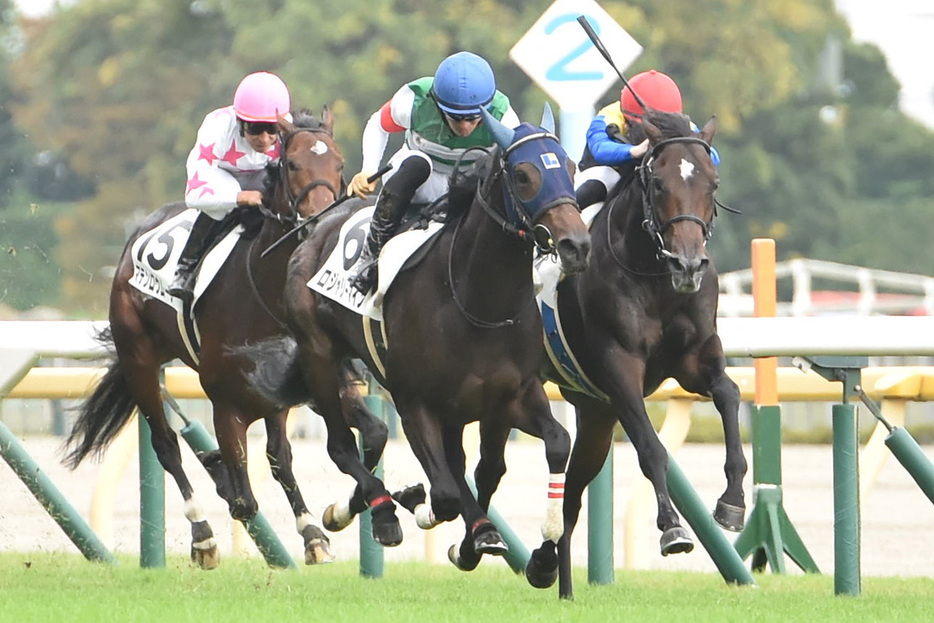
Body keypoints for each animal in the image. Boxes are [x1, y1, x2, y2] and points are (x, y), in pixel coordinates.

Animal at [63, 109, 384, 568]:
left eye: (340, 165)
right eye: (292, 164)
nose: (321, 222)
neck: (265, 290)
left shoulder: (312, 382)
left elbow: (371, 434)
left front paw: (327, 523)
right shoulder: (226, 402)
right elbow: (243, 501)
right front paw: (220, 480)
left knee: (279, 455)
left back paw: (307, 529)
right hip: (139, 359)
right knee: (166, 445)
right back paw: (202, 535)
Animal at [245, 108, 588, 584]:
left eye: (571, 169)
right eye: (522, 175)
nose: (577, 245)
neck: (475, 299)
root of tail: (314, 233)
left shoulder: (511, 395)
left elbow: (552, 444)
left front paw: (538, 557)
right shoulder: (415, 402)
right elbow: (444, 492)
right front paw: (443, 519)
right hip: (320, 357)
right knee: (342, 445)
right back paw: (380, 511)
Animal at [552, 109, 748, 596]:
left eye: (713, 182)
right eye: (658, 184)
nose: (688, 264)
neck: (653, 276)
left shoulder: (695, 359)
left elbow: (729, 394)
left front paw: (732, 501)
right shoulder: (619, 368)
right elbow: (651, 448)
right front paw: (672, 528)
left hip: (594, 414)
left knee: (570, 497)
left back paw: (554, 576)